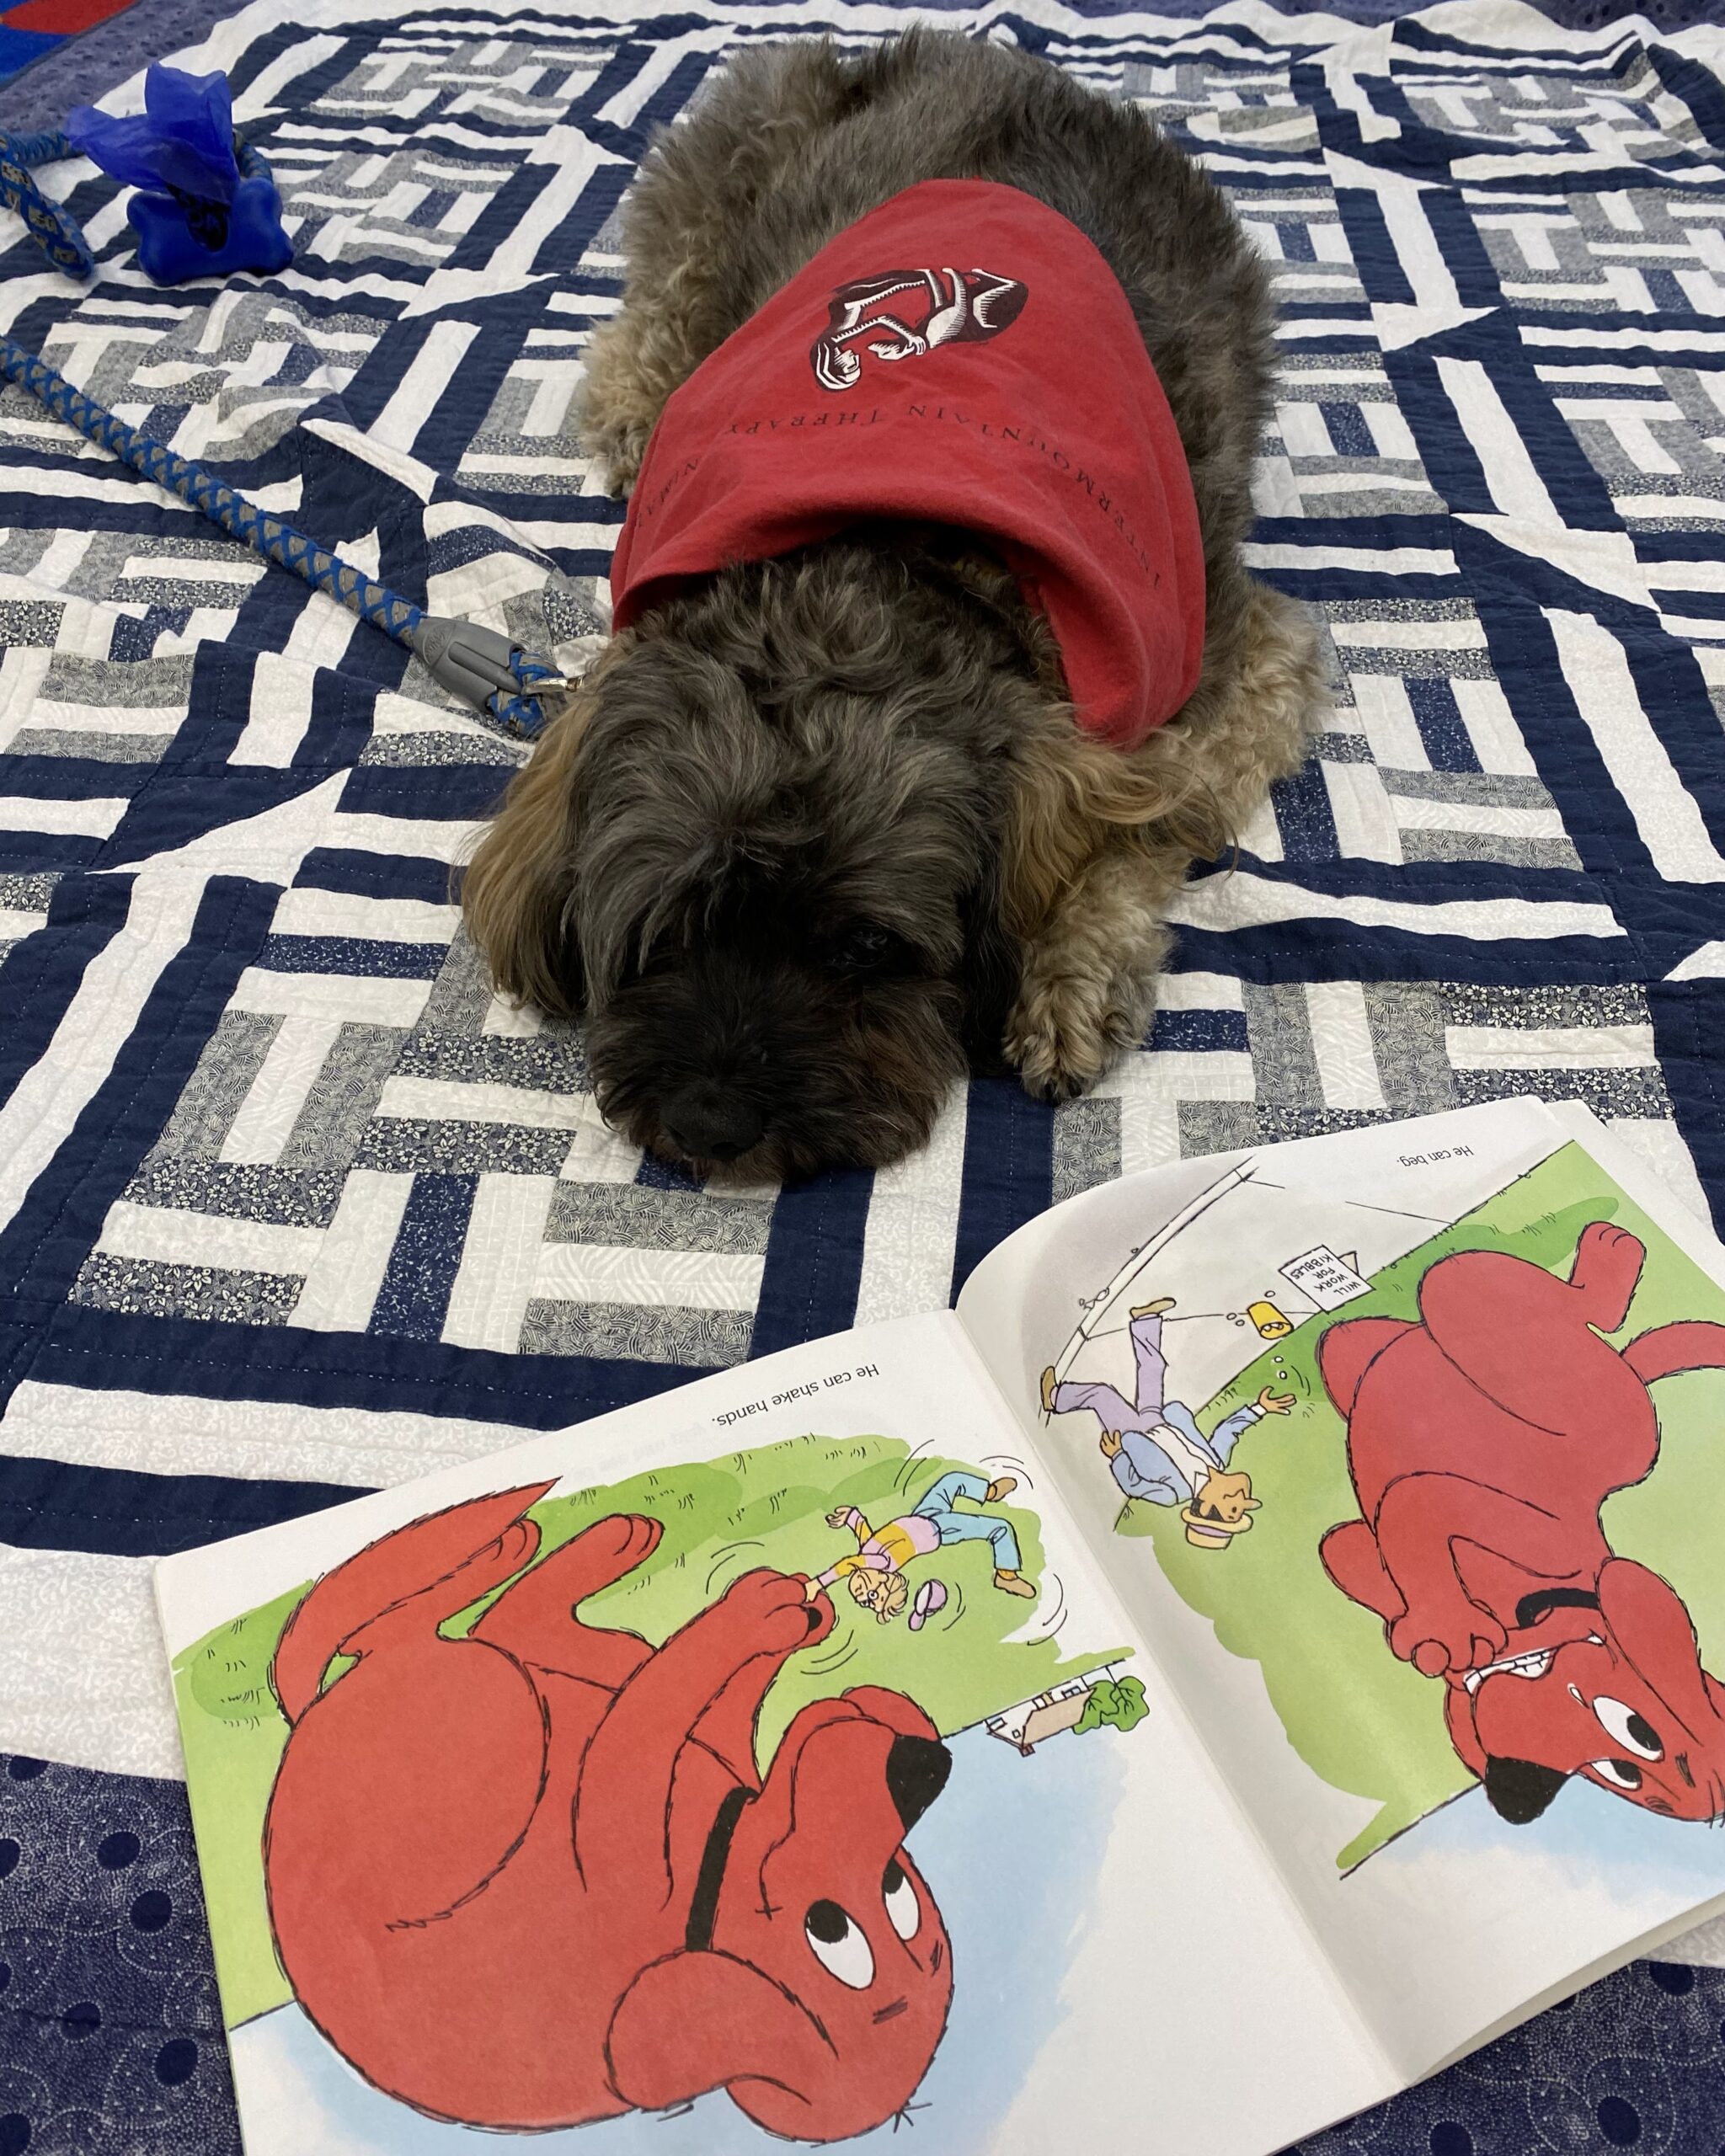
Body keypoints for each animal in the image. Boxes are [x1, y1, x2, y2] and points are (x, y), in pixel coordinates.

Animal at [457, 29, 1319, 1181]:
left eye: (865, 947)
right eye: (667, 925)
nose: (711, 1127)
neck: (871, 570)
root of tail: (970, 53)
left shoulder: (1241, 660)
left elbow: (1152, 827)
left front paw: (1070, 969)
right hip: (721, 180)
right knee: (643, 321)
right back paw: (638, 414)